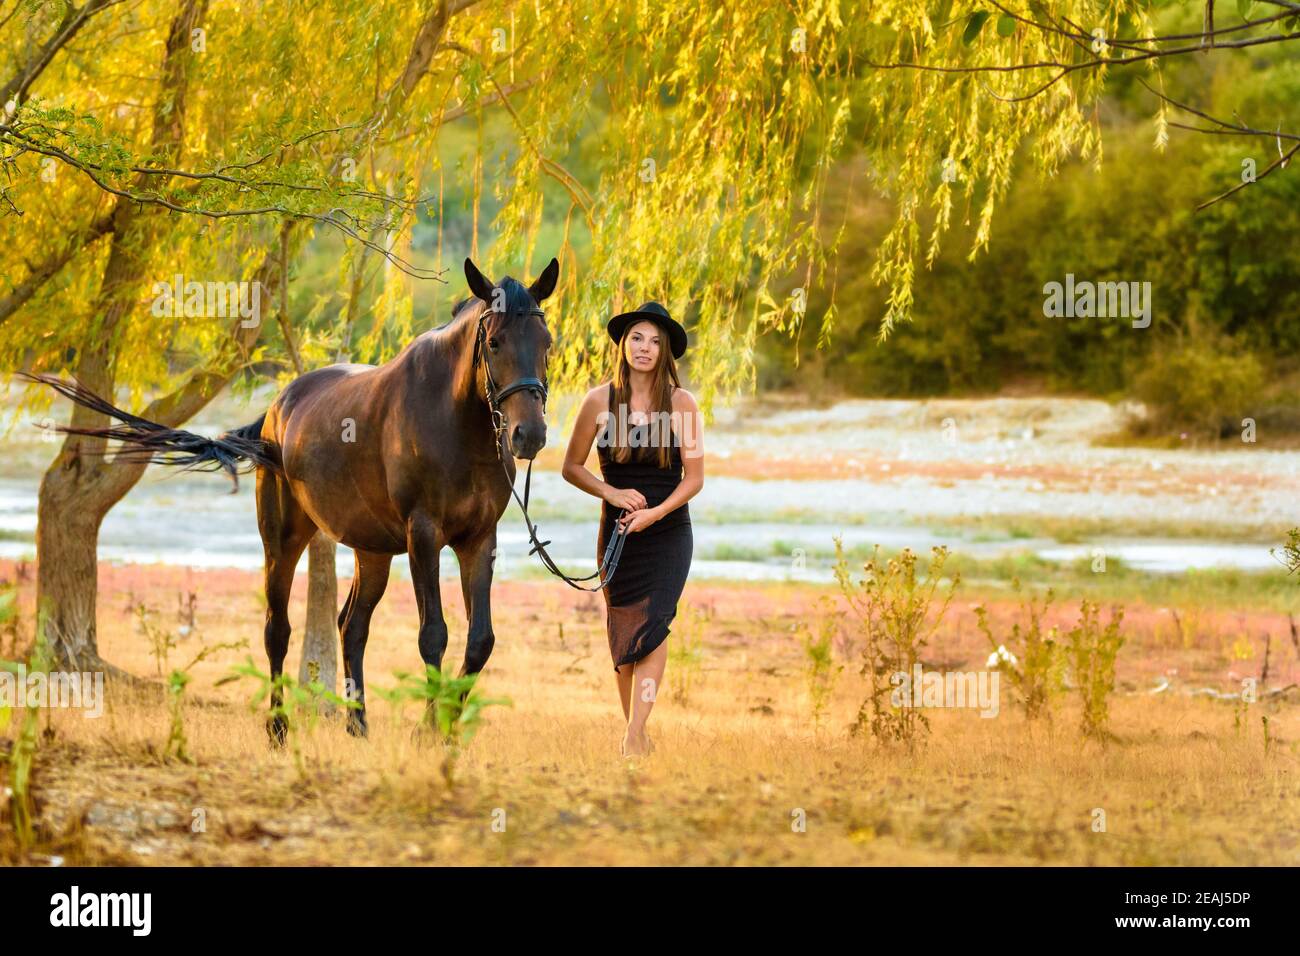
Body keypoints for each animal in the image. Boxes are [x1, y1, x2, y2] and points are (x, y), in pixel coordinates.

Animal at [29, 256, 559, 738]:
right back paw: (279, 727)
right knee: (277, 629)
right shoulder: (423, 536)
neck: (454, 422)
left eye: (546, 343)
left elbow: (480, 640)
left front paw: (446, 729)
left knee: (351, 626)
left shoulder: (478, 539)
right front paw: (427, 732)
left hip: (372, 551)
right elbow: (434, 635)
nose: (528, 435)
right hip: (282, 539)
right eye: (494, 342)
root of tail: (276, 409)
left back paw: (357, 726)